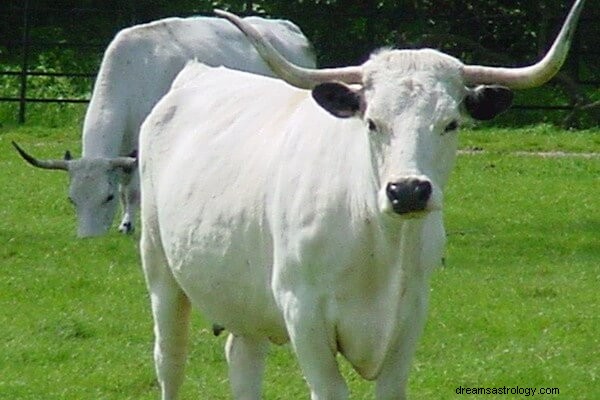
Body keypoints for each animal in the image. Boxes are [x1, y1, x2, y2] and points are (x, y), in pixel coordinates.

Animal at [11, 14, 316, 238]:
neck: (132, 73)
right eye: (72, 199)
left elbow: (132, 190)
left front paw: (128, 225)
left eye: (107, 197)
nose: (88, 239)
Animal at [138, 1, 584, 398]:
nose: (408, 191)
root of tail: (195, 74)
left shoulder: (410, 314)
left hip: (244, 302)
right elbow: (330, 390)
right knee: (170, 360)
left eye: (451, 123)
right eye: (372, 122)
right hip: (160, 269)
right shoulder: (303, 312)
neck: (377, 241)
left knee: (243, 360)